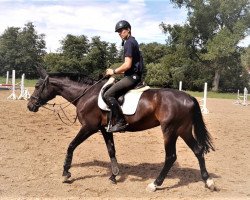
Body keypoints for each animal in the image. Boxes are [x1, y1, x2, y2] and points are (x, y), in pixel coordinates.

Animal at [26, 67, 215, 192]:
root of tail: (188, 97)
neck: (86, 94)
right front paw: (114, 175)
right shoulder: (105, 130)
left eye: (37, 86)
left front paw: (66, 173)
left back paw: (155, 184)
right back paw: (208, 182)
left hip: (170, 131)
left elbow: (71, 146)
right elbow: (111, 150)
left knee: (171, 157)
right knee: (198, 151)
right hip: (183, 130)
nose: (30, 106)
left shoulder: (88, 127)